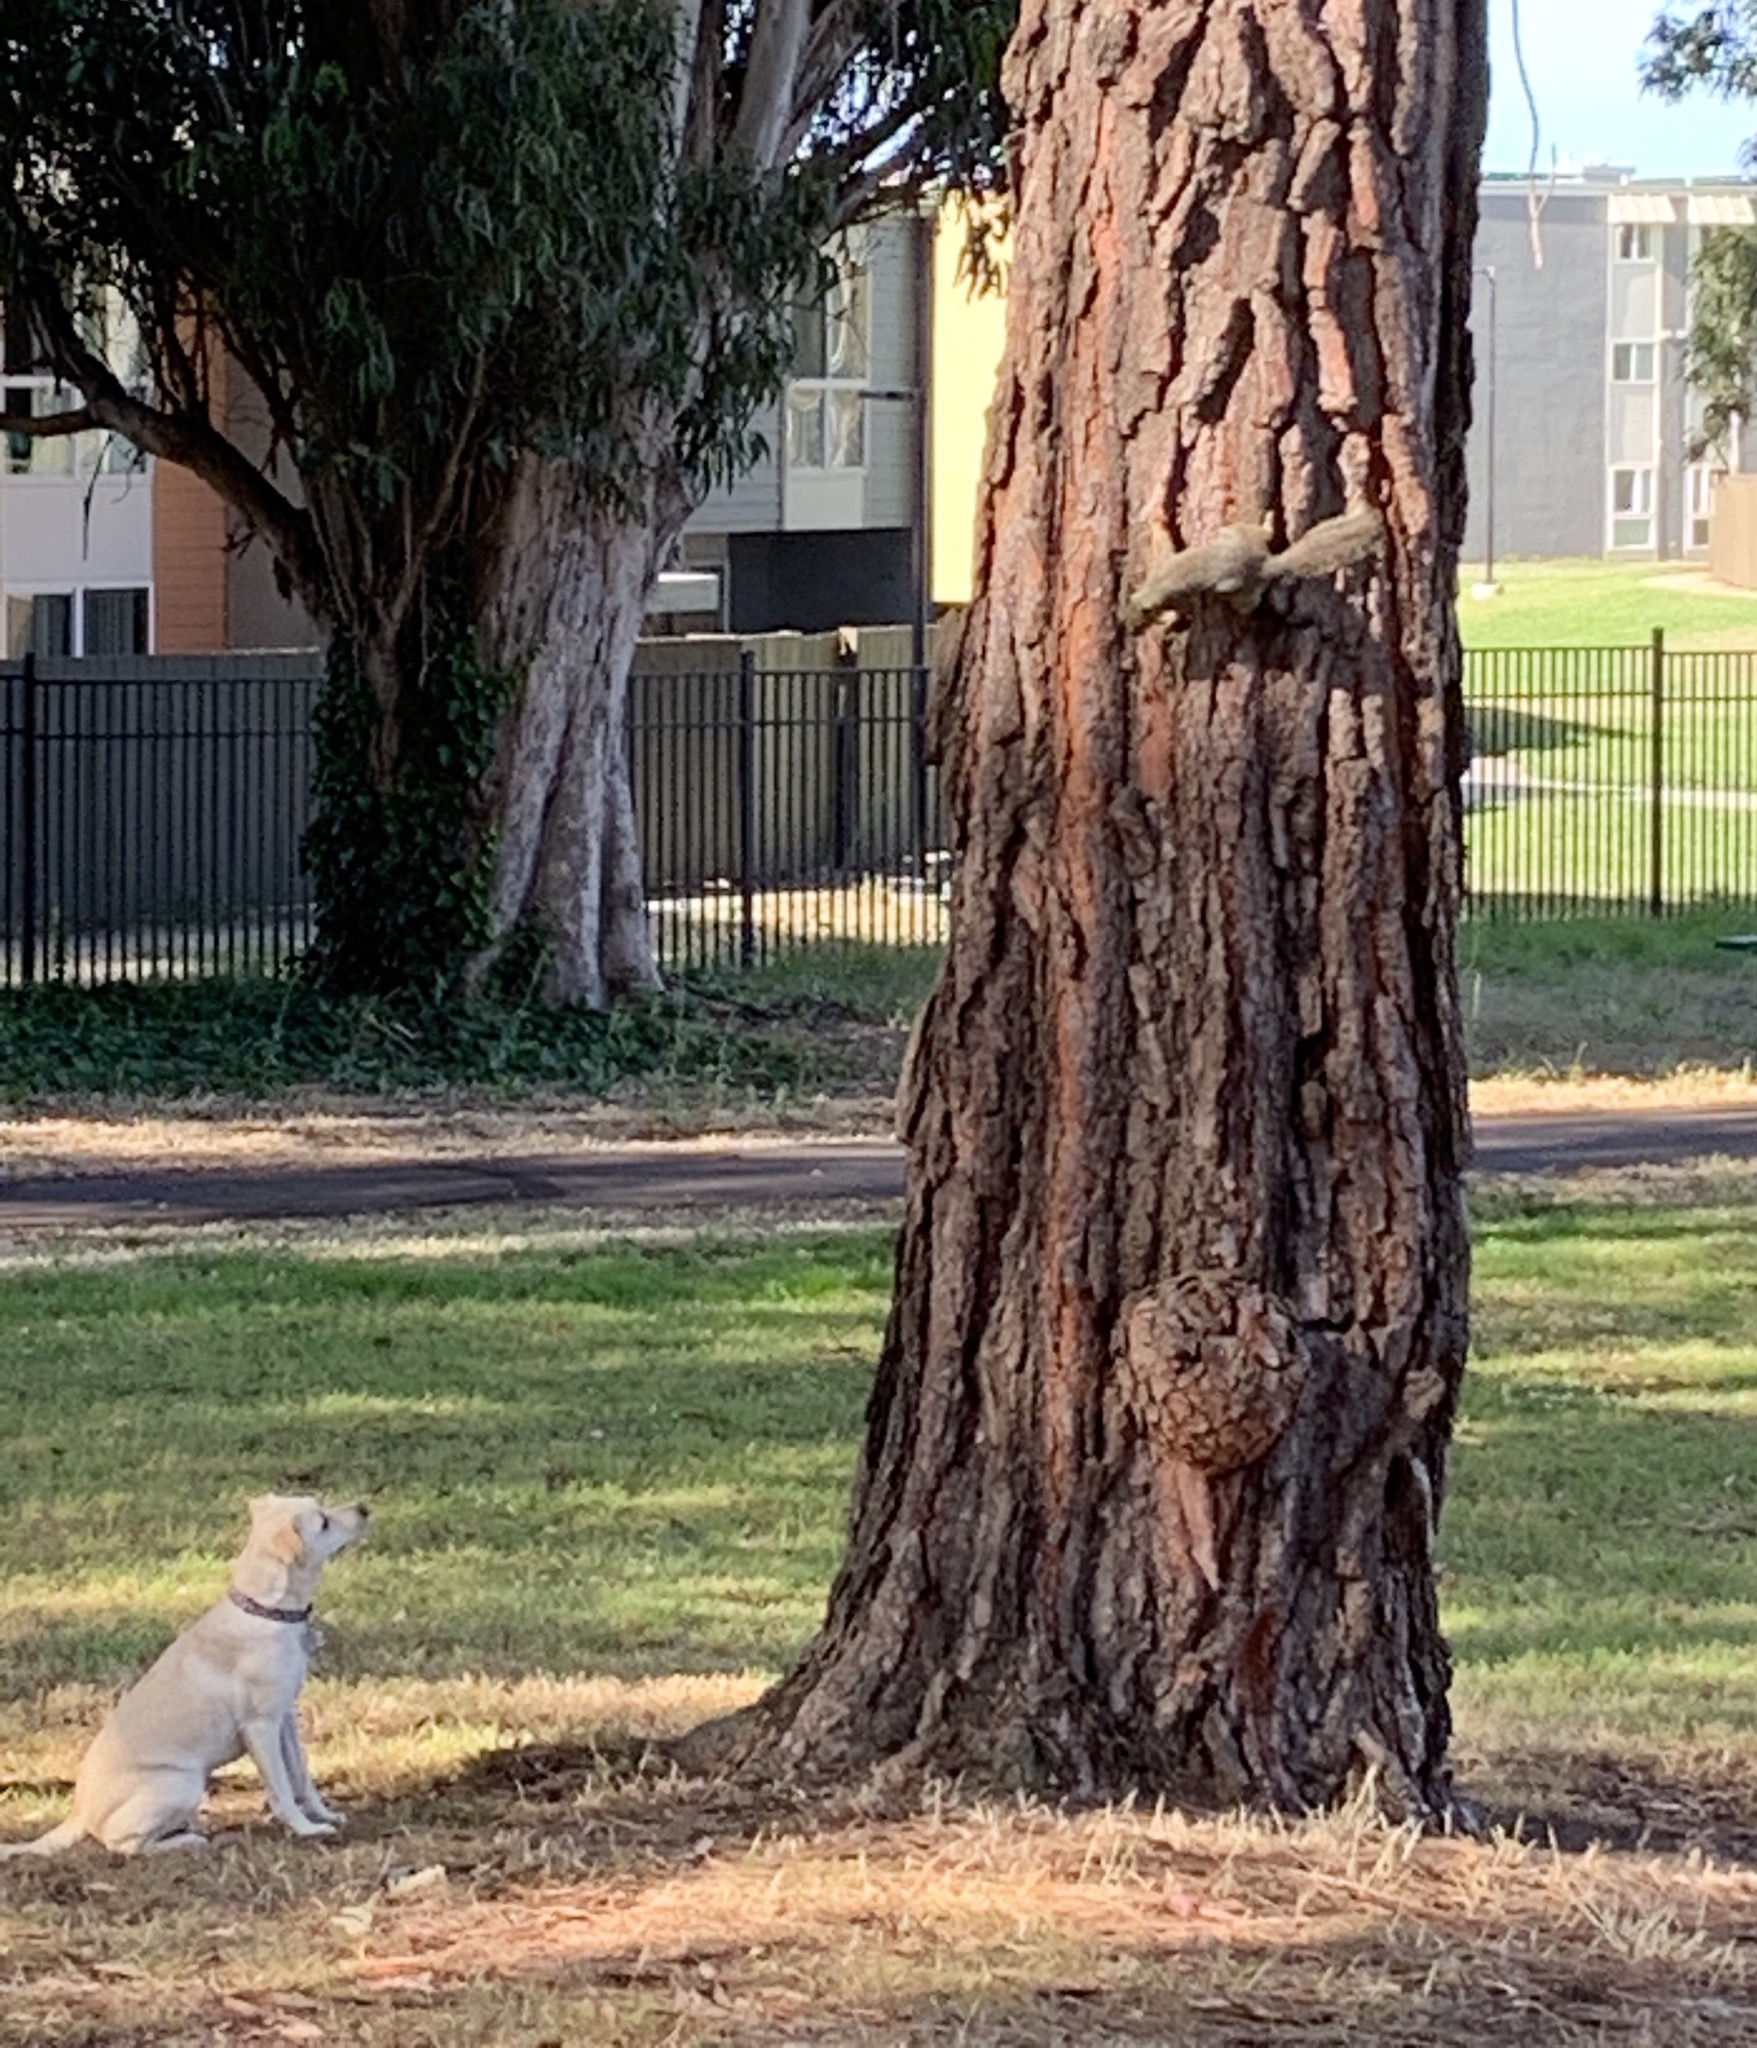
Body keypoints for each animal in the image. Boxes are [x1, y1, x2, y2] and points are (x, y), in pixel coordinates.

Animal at [0, 1490, 366, 1859]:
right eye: (323, 1522)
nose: (364, 1508)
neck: (265, 1611)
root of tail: (78, 1812)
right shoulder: (260, 1727)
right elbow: (282, 1790)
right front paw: (307, 1830)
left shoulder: (285, 1717)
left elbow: (302, 1776)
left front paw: (325, 1815)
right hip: (183, 1783)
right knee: (123, 1844)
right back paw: (187, 1840)